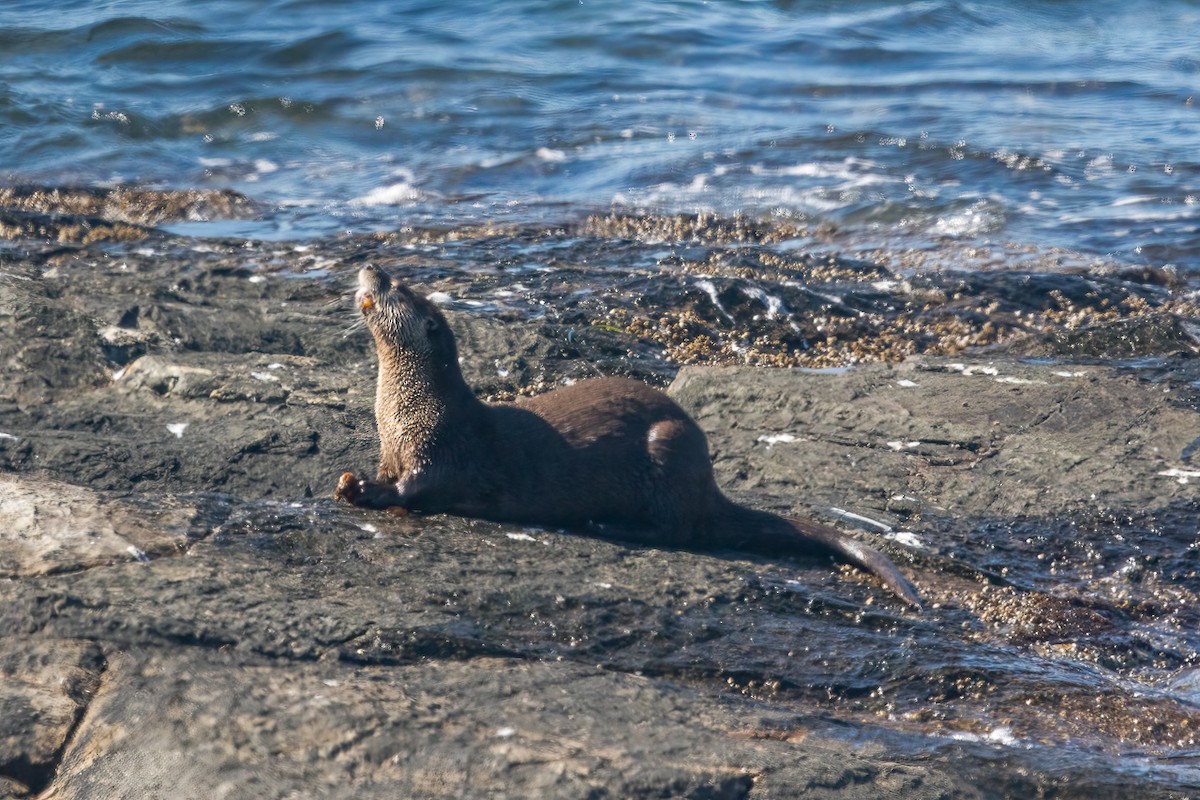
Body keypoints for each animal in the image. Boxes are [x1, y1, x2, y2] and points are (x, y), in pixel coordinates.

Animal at [335, 265, 921, 609]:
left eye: (397, 287)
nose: (371, 265)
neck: (405, 409)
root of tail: (708, 484)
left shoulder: (440, 448)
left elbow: (414, 489)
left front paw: (362, 491)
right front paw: (352, 479)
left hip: (666, 450)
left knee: (678, 531)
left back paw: (607, 524)